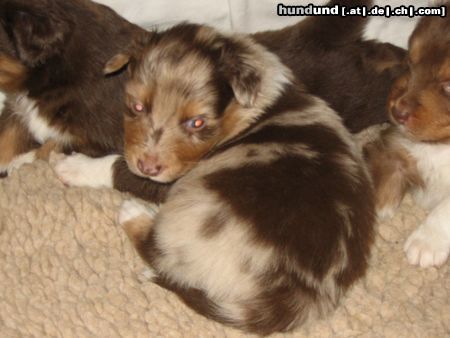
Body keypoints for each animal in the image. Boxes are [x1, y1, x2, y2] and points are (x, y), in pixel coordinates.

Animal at [72, 23, 376, 336]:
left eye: (196, 122)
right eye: (137, 106)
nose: (148, 165)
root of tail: (295, 297)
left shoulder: (175, 178)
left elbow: (121, 169)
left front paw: (71, 166)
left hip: (191, 212)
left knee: (155, 248)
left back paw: (134, 213)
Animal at [364, 9, 448, 268]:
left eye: (449, 86)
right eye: (410, 63)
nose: (397, 112)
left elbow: (446, 207)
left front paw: (425, 243)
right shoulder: (396, 146)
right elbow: (381, 177)